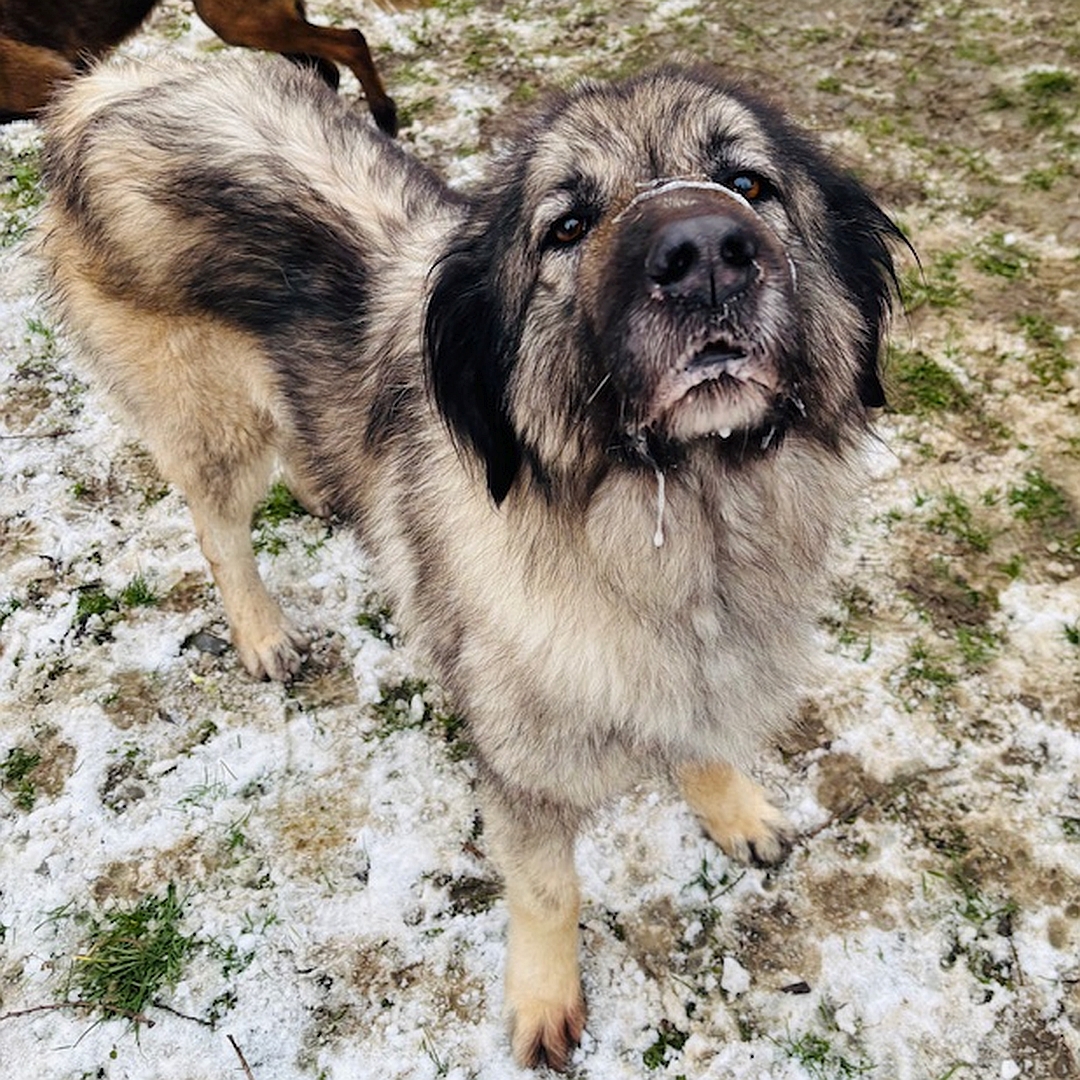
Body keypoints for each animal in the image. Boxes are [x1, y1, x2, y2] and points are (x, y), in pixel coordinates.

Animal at [38, 54, 902, 1067]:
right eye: (566, 226)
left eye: (749, 185)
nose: (705, 252)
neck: (684, 524)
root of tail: (114, 85)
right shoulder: (520, 765)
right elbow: (549, 889)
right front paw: (544, 1002)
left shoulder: (707, 665)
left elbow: (705, 739)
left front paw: (731, 806)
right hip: (211, 421)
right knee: (218, 528)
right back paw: (260, 631)